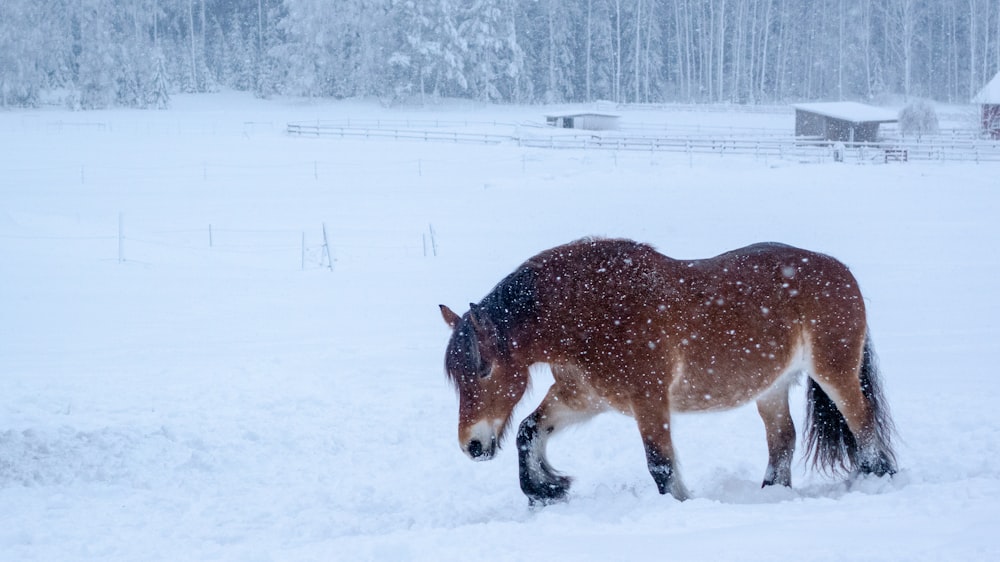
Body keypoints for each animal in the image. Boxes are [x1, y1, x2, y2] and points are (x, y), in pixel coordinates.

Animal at [442, 237, 896, 504]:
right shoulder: (583, 399)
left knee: (863, 424)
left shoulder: (649, 400)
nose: (472, 446)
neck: (591, 311)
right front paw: (545, 490)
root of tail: (841, 270)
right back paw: (770, 495)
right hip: (772, 387)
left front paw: (679, 504)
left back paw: (877, 479)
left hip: (835, 373)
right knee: (783, 439)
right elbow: (529, 431)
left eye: (483, 370)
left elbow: (660, 464)